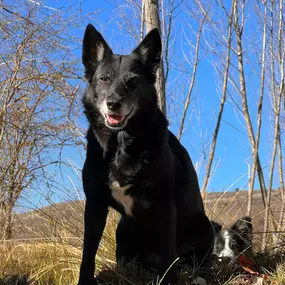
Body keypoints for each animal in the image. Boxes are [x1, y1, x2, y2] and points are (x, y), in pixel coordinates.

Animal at [76, 23, 214, 284]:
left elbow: (169, 254)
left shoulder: (164, 203)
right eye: (104, 79)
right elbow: (88, 251)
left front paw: (168, 281)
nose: (113, 103)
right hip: (123, 230)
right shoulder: (95, 203)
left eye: (133, 81)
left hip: (204, 228)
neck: (120, 146)